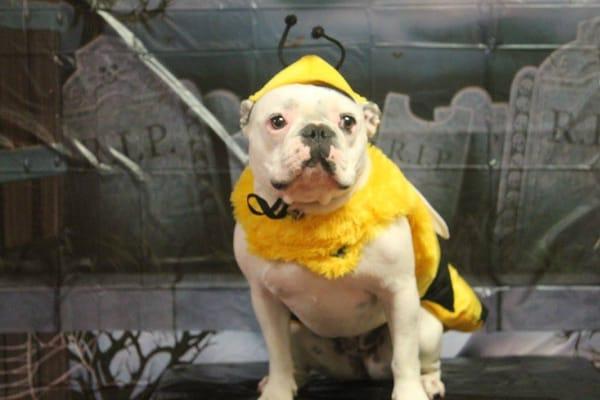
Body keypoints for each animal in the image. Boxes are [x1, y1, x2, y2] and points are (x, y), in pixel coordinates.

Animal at [232, 54, 486, 398]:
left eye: (348, 122)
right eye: (277, 121)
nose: (317, 131)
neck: (315, 213)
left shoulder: (399, 292)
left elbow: (405, 356)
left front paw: (409, 393)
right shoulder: (266, 300)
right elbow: (277, 354)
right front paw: (278, 391)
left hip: (427, 326)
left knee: (424, 358)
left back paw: (429, 382)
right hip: (299, 332)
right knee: (294, 358)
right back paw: (292, 379)